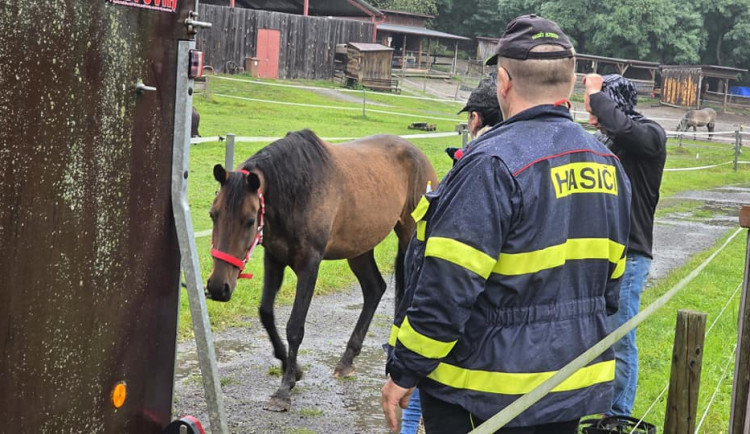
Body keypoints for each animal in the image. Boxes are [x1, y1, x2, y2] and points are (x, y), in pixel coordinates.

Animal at [209, 128, 438, 410]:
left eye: (250, 220)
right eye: (213, 215)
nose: (217, 287)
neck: (297, 191)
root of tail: (419, 155)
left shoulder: (310, 264)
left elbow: (295, 327)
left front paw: (284, 389)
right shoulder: (274, 259)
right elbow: (266, 313)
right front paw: (293, 369)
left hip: (411, 237)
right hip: (359, 248)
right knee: (375, 289)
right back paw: (347, 360)